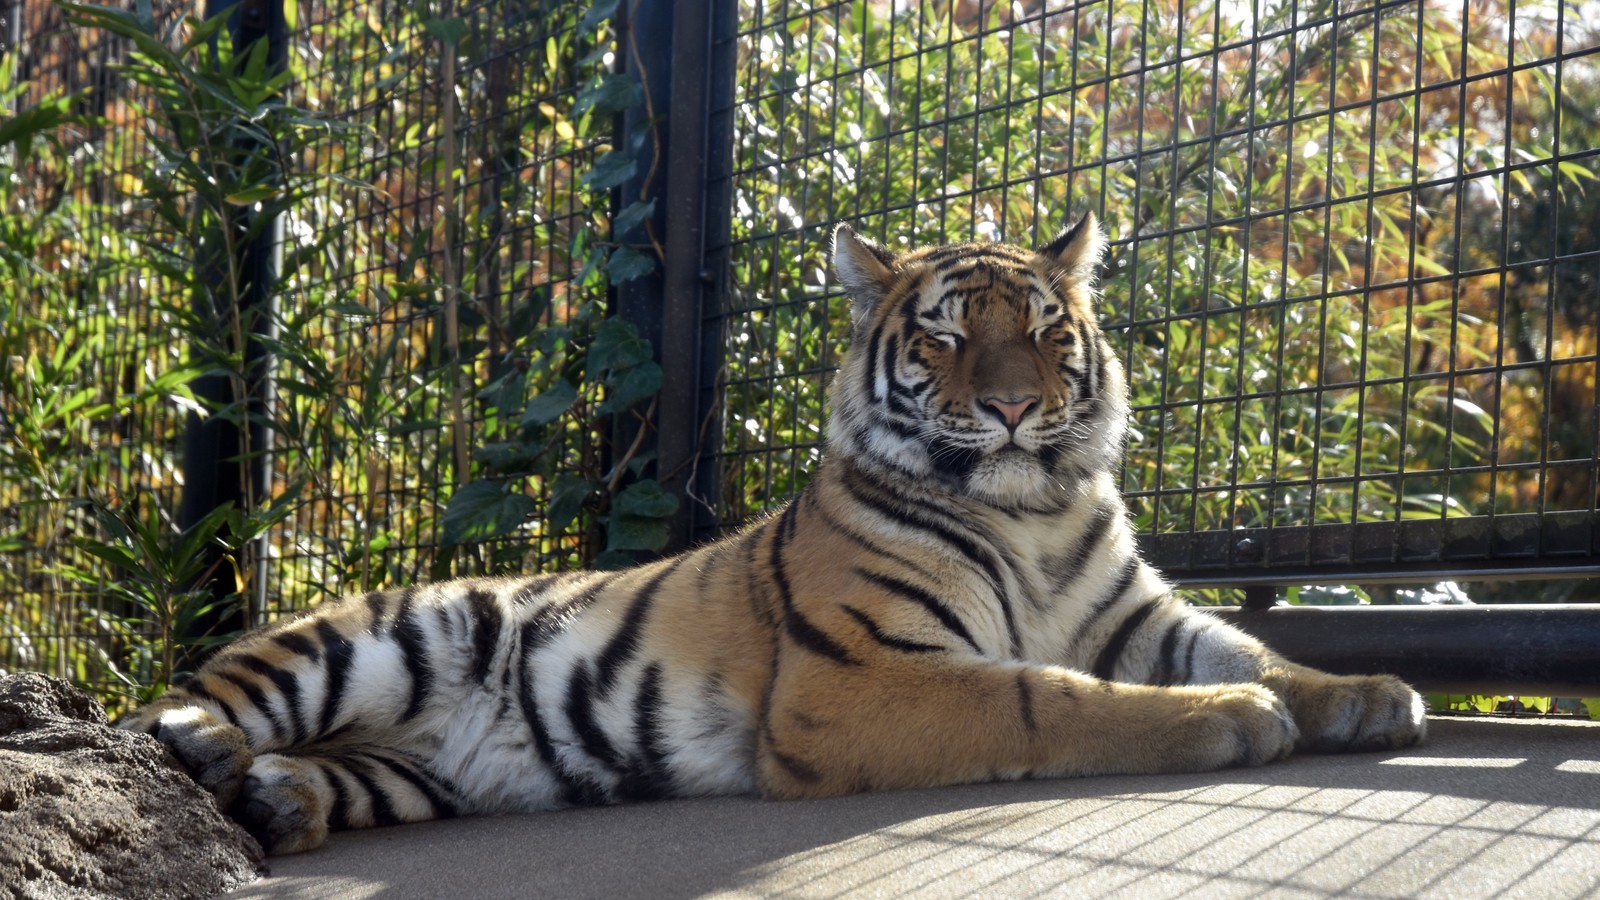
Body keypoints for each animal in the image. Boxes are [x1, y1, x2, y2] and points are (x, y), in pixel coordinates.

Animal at [124, 212, 1427, 851]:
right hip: (376, 640)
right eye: (947, 337)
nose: (1013, 407)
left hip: (422, 775)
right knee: (175, 700)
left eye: (1047, 333)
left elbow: (1252, 646)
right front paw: (1227, 720)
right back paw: (205, 747)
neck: (1035, 506)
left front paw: (1364, 695)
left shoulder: (1130, 615)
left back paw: (277, 801)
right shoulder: (859, 677)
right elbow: (1045, 696)